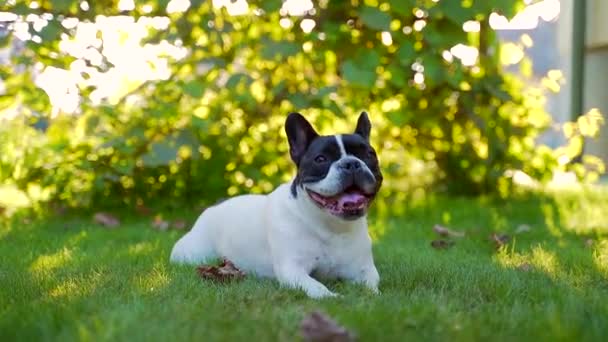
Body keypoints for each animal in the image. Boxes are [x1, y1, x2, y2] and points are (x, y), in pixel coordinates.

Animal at [169, 111, 382, 296]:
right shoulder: (293, 270)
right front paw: (334, 297)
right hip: (193, 253)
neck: (331, 226)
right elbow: (317, 287)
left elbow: (372, 287)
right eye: (321, 159)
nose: (351, 163)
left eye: (369, 155)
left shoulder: (364, 269)